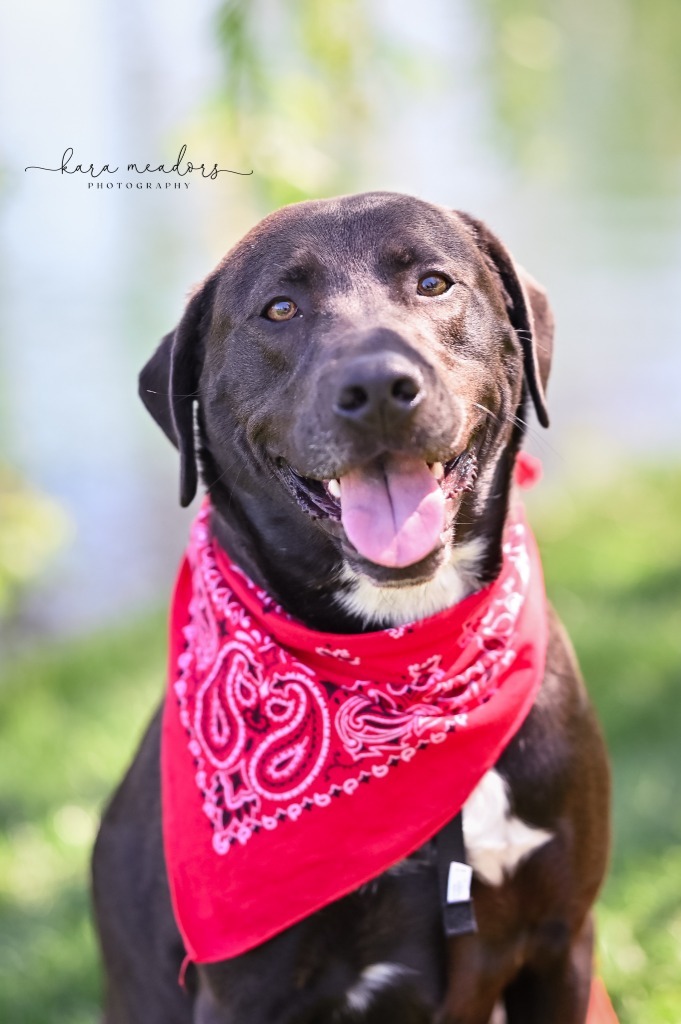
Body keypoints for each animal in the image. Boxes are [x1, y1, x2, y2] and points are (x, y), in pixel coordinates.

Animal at [91, 193, 610, 1024]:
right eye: (279, 308)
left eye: (433, 282)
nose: (375, 388)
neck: (408, 652)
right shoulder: (247, 996)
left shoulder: (561, 943)